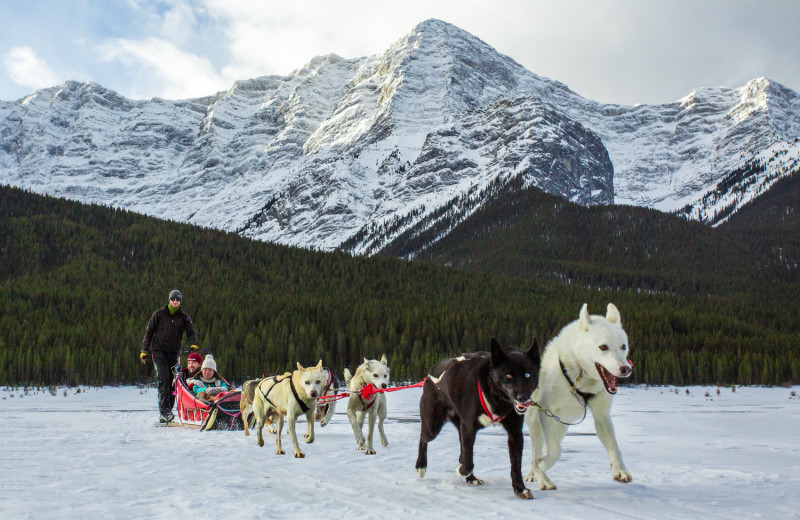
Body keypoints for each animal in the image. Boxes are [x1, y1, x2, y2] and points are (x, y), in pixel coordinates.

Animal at [416, 340, 540, 498]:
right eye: (508, 376)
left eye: (528, 374)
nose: (522, 398)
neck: (497, 399)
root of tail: (431, 373)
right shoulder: (469, 428)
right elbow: (468, 462)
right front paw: (461, 470)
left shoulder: (515, 432)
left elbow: (516, 464)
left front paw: (520, 488)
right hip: (433, 425)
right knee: (424, 438)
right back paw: (421, 465)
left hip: (459, 427)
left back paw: (471, 478)